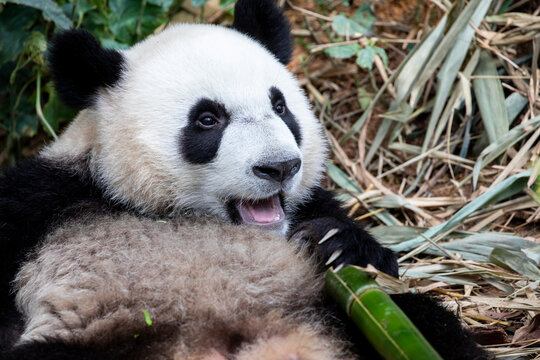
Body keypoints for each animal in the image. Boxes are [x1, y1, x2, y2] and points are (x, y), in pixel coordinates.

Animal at [0, 1, 490, 358]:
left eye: (280, 106)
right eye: (207, 119)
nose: (280, 167)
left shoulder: (310, 209)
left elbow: (371, 260)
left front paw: (336, 242)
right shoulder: (47, 197)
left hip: (332, 312)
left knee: (426, 321)